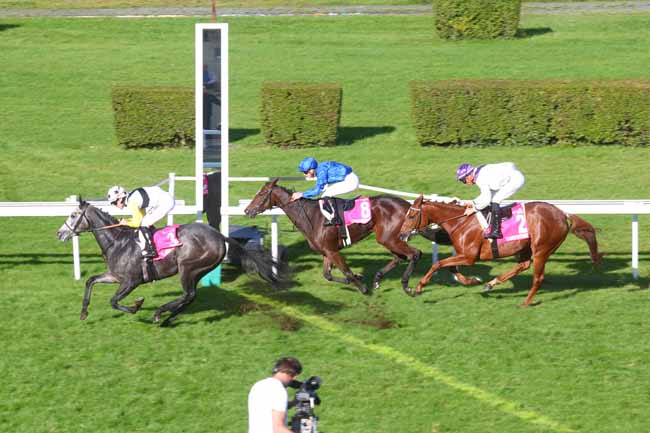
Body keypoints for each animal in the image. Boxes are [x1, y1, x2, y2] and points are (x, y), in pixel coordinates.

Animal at [243, 178, 476, 294]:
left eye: (261, 194)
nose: (247, 210)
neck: (311, 216)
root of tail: (409, 206)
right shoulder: (327, 251)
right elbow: (328, 275)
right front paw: (358, 278)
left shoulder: (332, 250)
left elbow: (344, 270)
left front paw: (361, 285)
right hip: (388, 238)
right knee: (400, 256)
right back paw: (378, 279)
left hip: (389, 237)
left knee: (414, 254)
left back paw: (406, 284)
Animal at [394, 194, 604, 306]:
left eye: (411, 215)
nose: (401, 235)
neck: (461, 222)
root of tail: (563, 214)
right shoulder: (463, 255)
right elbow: (450, 267)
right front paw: (473, 280)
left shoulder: (469, 257)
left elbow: (438, 264)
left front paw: (416, 288)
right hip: (527, 247)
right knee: (523, 265)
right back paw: (491, 283)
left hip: (541, 249)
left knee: (538, 277)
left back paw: (525, 302)